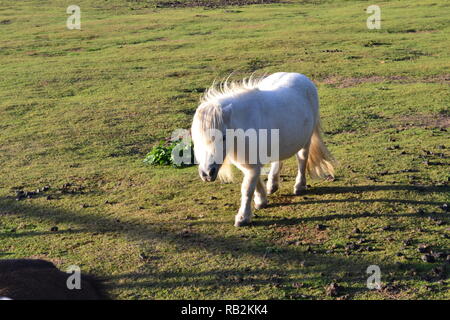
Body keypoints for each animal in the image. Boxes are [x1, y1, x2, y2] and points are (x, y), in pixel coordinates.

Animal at [190, 72, 334, 228]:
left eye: (223, 137)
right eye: (195, 138)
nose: (207, 173)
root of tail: (301, 77)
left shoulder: (252, 165)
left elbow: (247, 189)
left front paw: (243, 217)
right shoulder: (248, 164)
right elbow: (256, 182)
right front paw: (261, 200)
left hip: (306, 141)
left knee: (302, 160)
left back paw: (299, 186)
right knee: (278, 161)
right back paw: (272, 185)